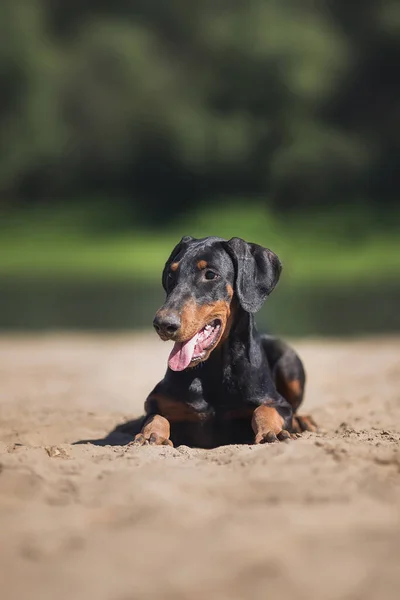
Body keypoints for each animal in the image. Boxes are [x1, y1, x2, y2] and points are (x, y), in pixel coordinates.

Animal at [133, 237, 318, 448]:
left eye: (210, 274)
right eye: (171, 275)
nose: (163, 324)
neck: (213, 368)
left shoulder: (278, 403)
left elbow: (264, 410)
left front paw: (273, 432)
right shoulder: (156, 402)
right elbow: (155, 417)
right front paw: (150, 435)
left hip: (288, 359)